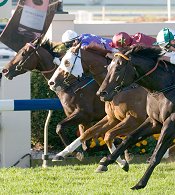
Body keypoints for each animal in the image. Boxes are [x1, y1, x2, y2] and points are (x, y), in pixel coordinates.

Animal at [95, 45, 175, 189]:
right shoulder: (154, 122)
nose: (101, 93)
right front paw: (107, 162)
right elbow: (129, 138)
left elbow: (156, 155)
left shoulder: (170, 123)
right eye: (108, 67)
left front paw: (140, 183)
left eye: (118, 68)